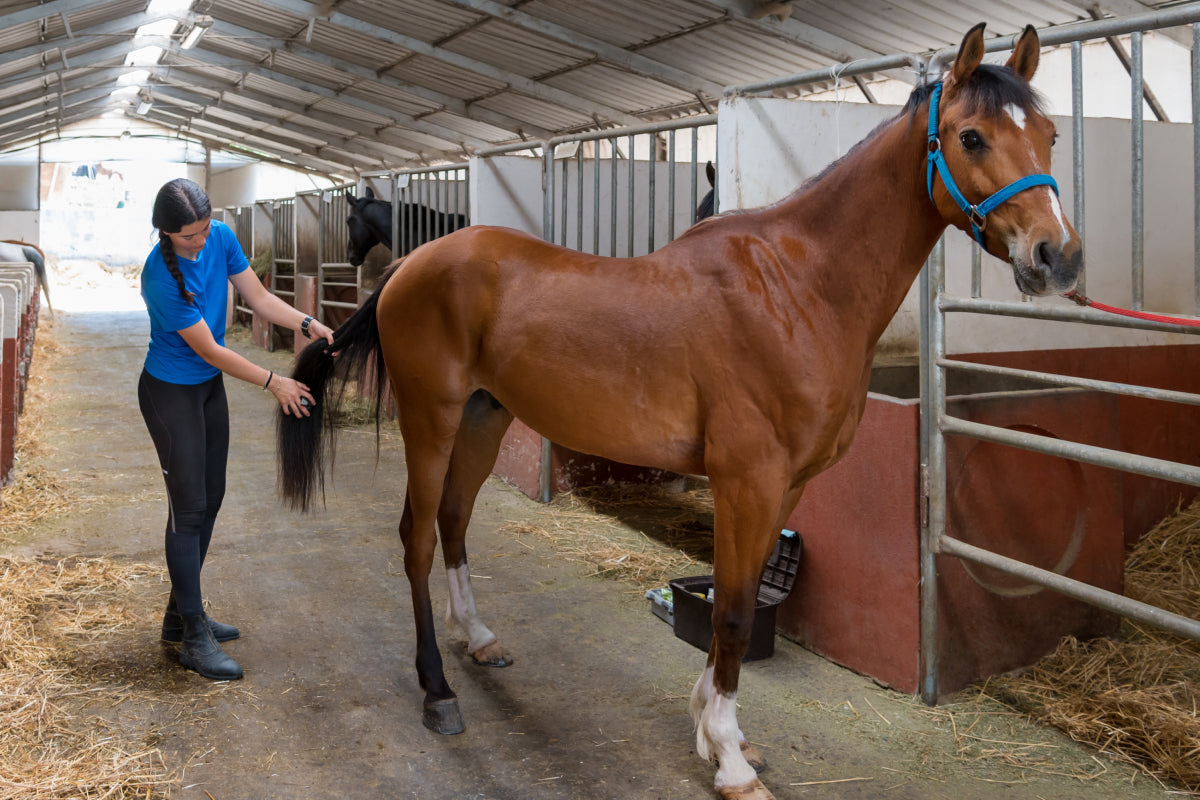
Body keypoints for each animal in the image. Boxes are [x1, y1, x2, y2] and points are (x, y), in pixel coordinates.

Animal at [278, 25, 1080, 800]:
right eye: (971, 137)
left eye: (1050, 134)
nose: (1059, 257)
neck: (797, 289)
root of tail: (408, 267)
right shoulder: (747, 480)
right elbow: (730, 610)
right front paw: (727, 758)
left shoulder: (786, 486)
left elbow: (739, 594)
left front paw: (720, 729)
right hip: (432, 417)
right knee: (416, 536)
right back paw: (438, 691)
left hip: (484, 416)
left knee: (453, 520)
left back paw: (477, 638)